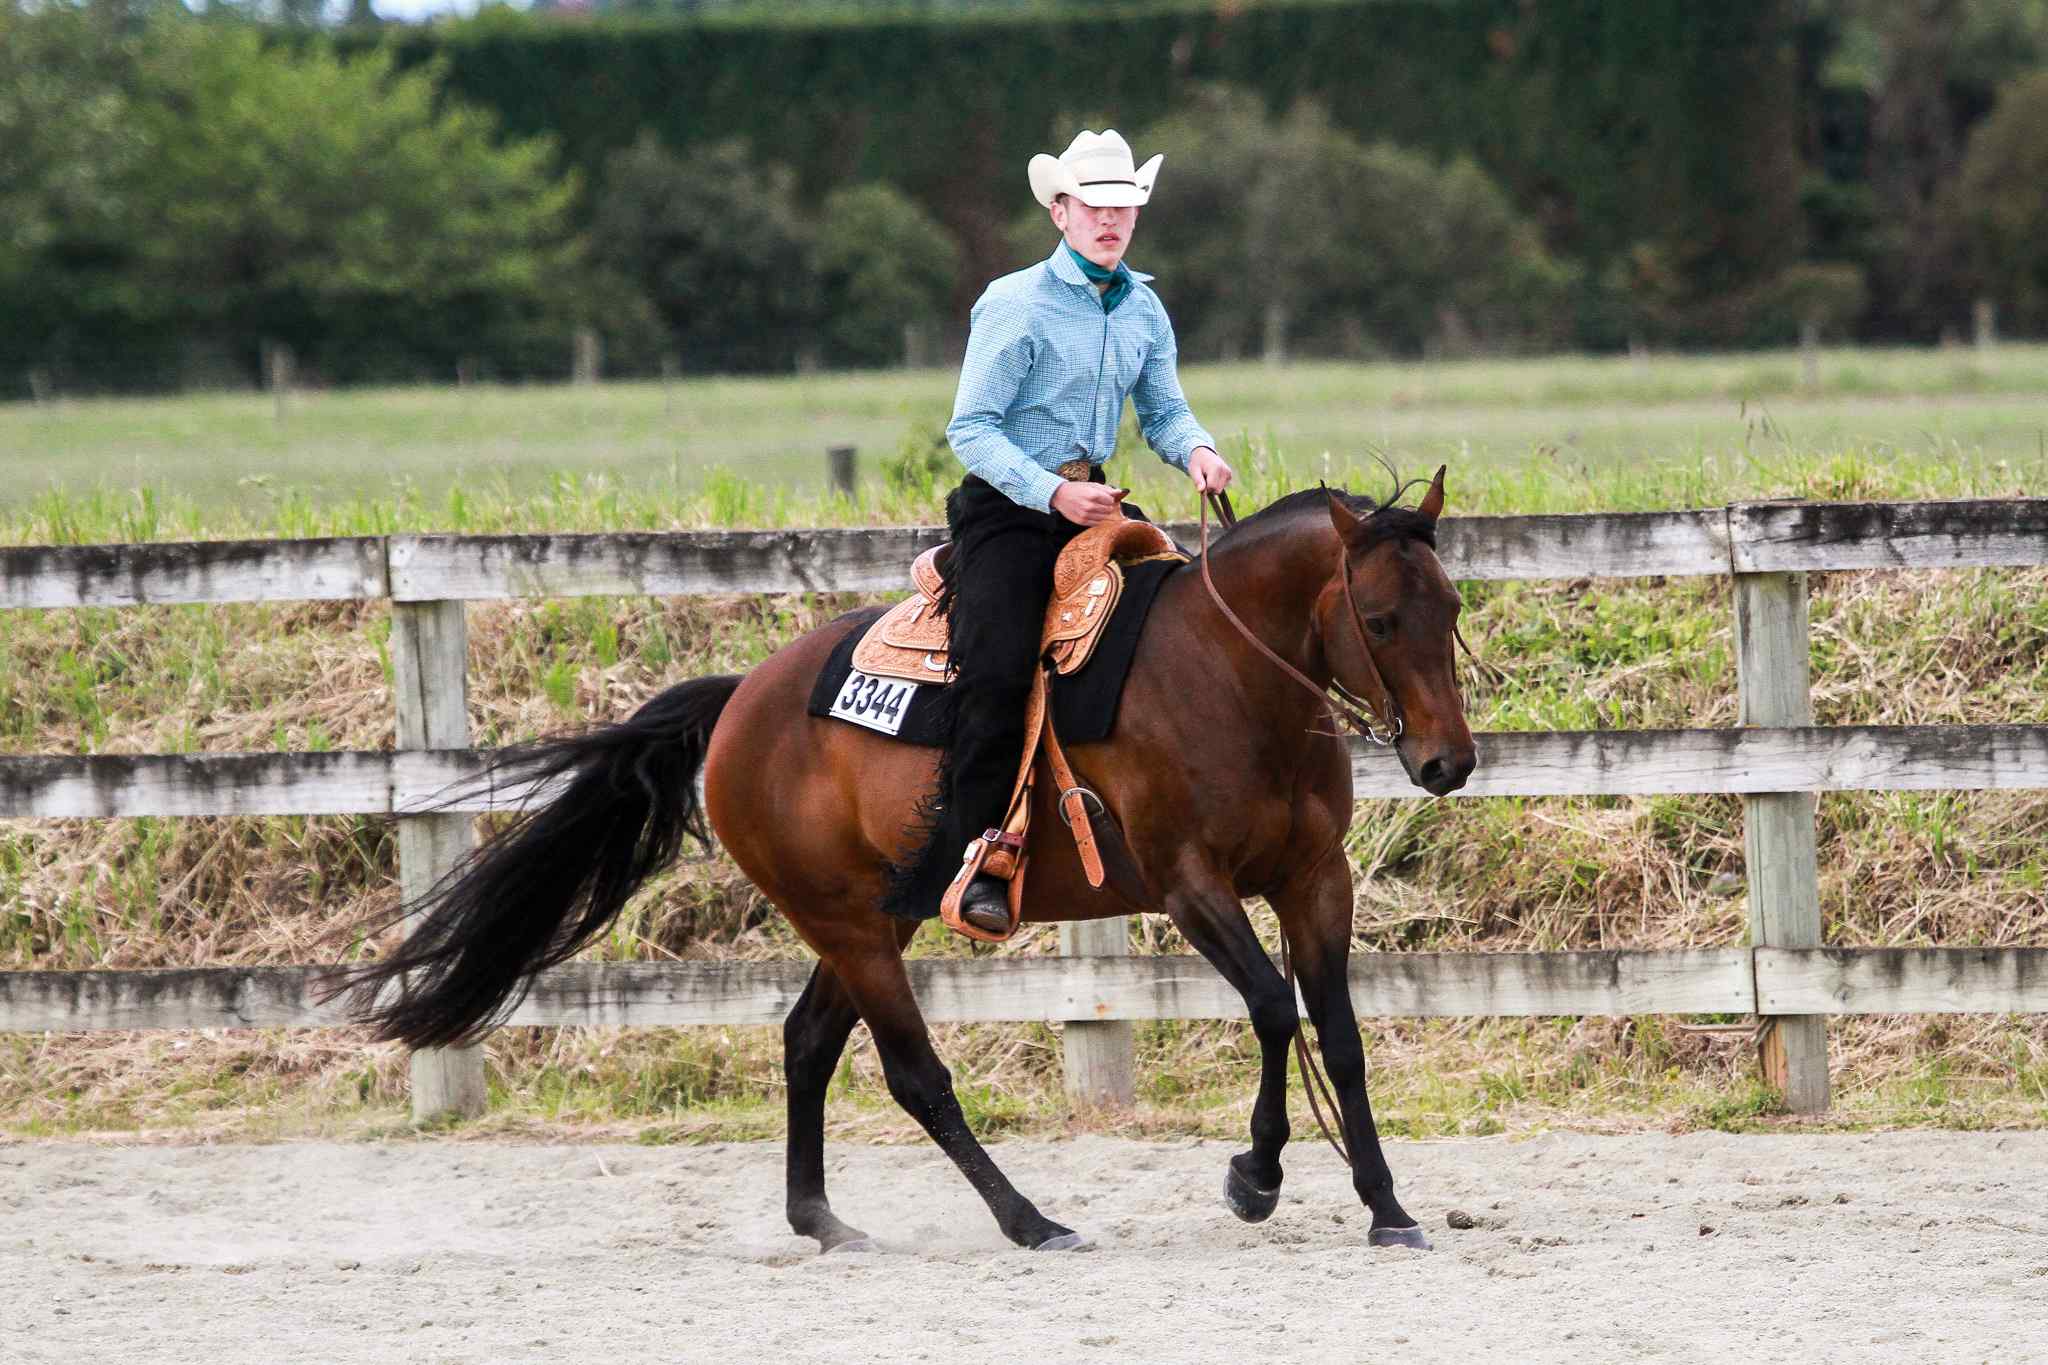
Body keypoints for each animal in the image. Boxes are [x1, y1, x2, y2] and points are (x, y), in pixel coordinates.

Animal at [335, 470, 1477, 1254]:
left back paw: (822, 1220)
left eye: (1452, 608)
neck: (1230, 678)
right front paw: (1254, 1178)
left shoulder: (1313, 879)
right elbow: (1276, 1011)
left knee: (804, 1042)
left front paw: (1386, 1206)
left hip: (871, 917)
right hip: (848, 926)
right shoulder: (1190, 887)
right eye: (1379, 619)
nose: (1447, 761)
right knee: (913, 1073)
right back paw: (1031, 1221)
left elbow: (1339, 1034)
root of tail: (741, 698)